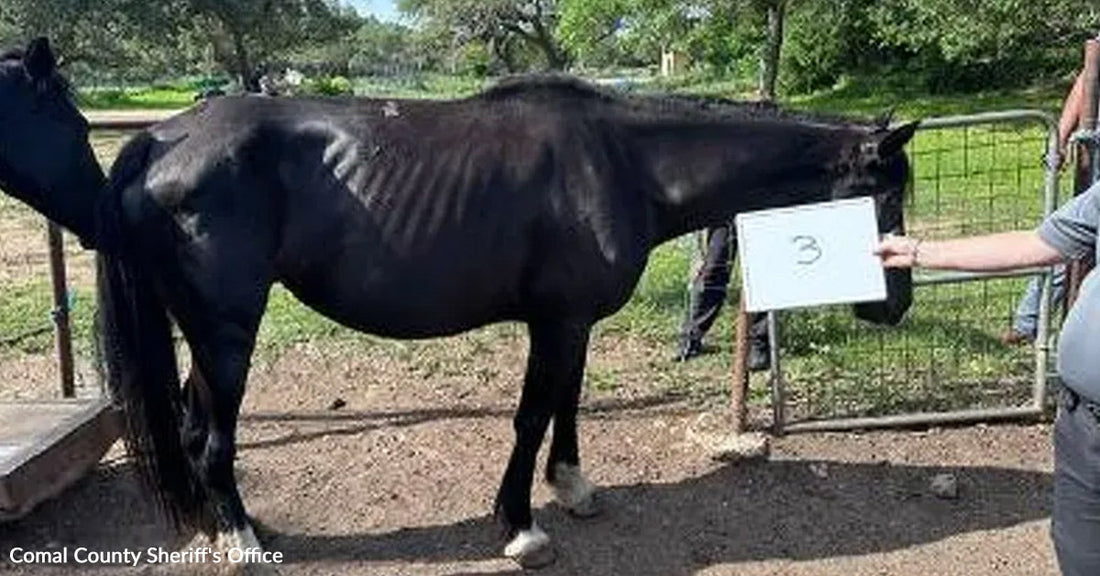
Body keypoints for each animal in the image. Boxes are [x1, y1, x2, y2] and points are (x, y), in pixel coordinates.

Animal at [0, 38, 916, 568]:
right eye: (885, 194)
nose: (894, 309)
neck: (623, 161)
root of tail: (161, 138)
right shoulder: (554, 323)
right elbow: (532, 414)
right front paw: (519, 525)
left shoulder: (571, 322)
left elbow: (567, 407)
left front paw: (573, 488)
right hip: (227, 331)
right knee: (209, 435)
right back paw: (244, 541)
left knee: (193, 429)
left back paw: (216, 525)